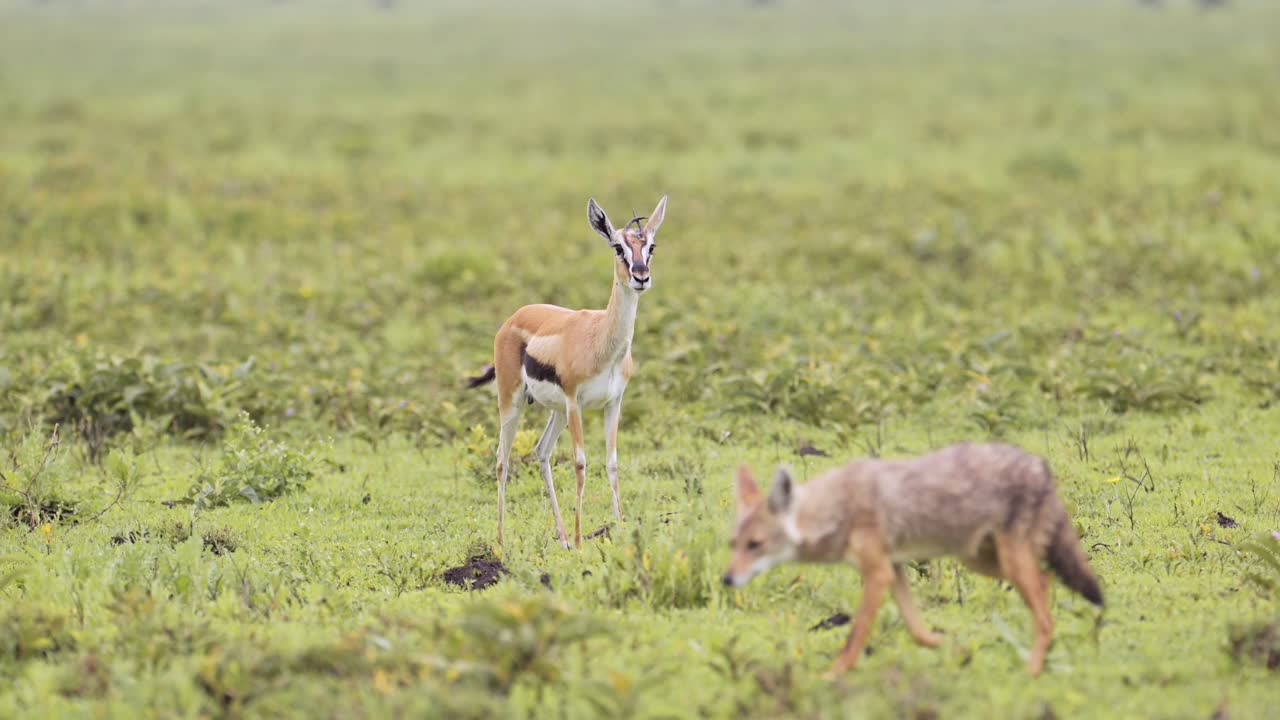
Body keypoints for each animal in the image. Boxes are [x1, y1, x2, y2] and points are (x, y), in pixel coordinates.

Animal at [467, 195, 668, 549]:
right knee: (502, 459)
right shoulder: (576, 402)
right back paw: (502, 541)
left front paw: (619, 528)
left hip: (557, 412)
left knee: (541, 451)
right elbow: (580, 464)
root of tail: (513, 317)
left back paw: (560, 537)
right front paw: (579, 539)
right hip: (513, 402)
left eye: (651, 246)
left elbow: (612, 463)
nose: (641, 276)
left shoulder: (613, 403)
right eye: (618, 247)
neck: (600, 340)